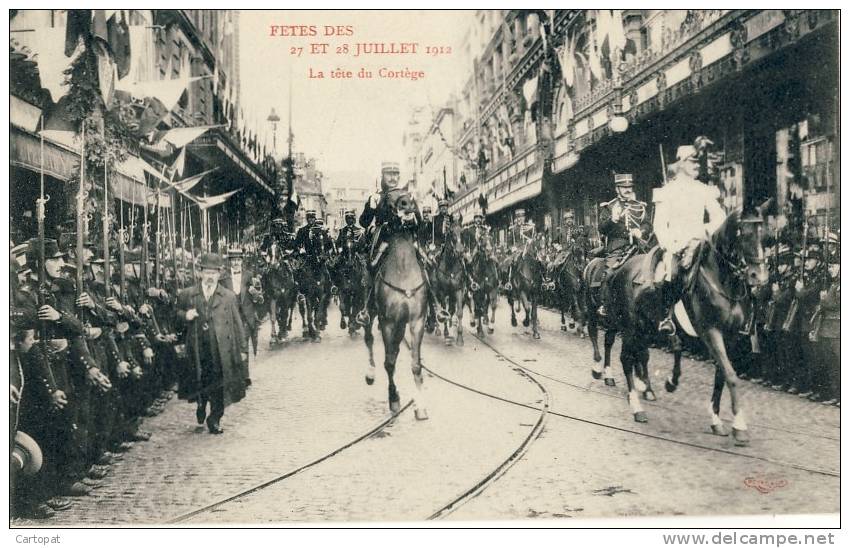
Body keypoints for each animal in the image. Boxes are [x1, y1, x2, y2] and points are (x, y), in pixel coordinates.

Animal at [360, 192, 428, 420]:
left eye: (409, 191)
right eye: (388, 197)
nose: (406, 203)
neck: (403, 270)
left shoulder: (417, 321)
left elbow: (415, 364)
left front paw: (420, 406)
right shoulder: (387, 322)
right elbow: (389, 363)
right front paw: (394, 399)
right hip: (372, 314)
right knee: (369, 339)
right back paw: (370, 373)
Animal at [604, 201, 768, 446]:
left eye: (763, 233)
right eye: (741, 232)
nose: (759, 276)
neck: (722, 281)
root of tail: (620, 268)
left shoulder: (730, 336)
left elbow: (721, 374)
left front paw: (716, 419)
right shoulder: (711, 332)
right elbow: (731, 375)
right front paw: (739, 425)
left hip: (646, 328)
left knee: (642, 354)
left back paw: (652, 386)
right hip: (630, 326)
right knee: (626, 359)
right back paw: (636, 406)